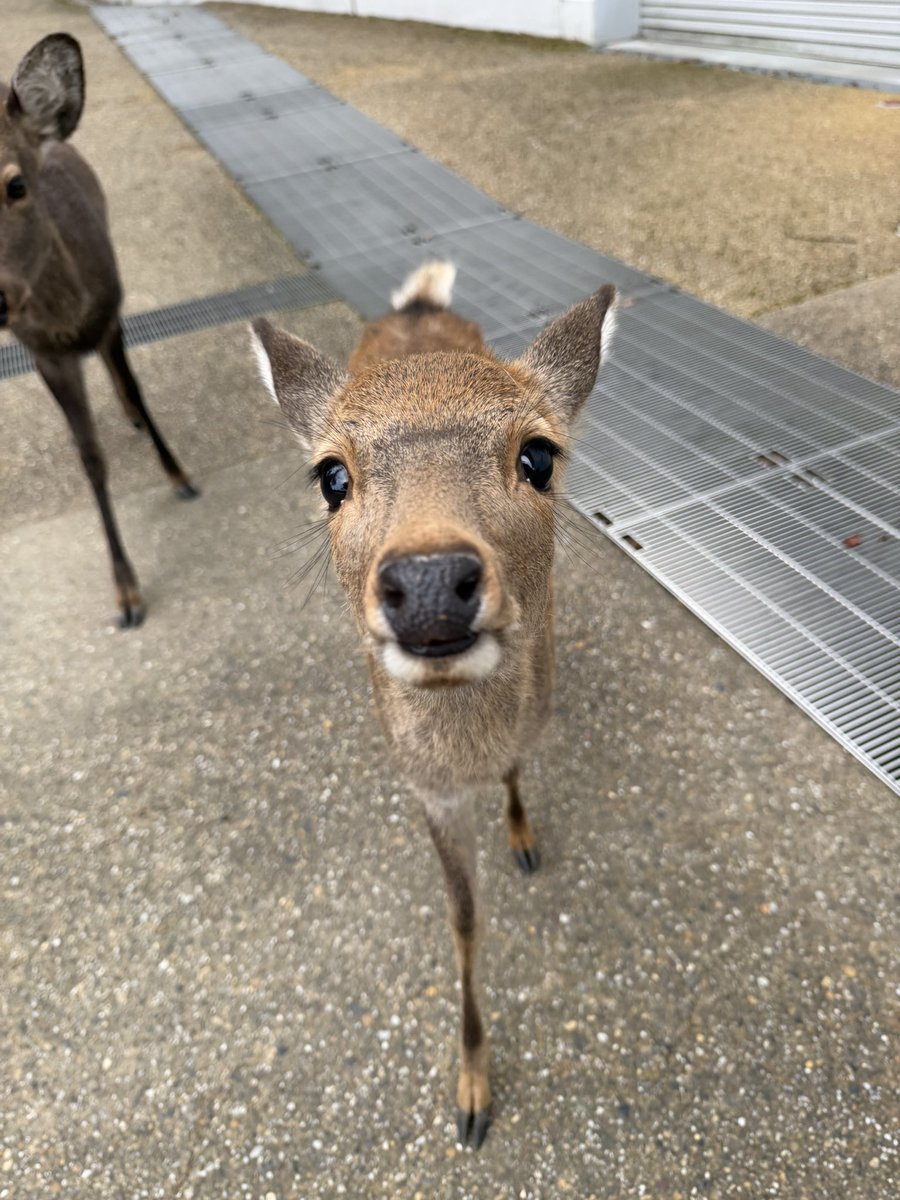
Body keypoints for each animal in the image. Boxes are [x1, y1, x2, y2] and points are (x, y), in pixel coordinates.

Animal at [0, 33, 197, 628]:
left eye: (15, 182)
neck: (69, 316)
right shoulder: (43, 353)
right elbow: (89, 456)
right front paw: (126, 594)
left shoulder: (111, 313)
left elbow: (137, 387)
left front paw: (180, 476)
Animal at [251, 261, 616, 1147]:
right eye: (332, 475)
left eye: (539, 455)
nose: (427, 582)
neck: (466, 754)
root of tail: (418, 303)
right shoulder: (426, 786)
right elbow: (462, 918)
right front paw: (472, 1091)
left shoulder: (534, 712)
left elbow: (519, 771)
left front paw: (523, 838)